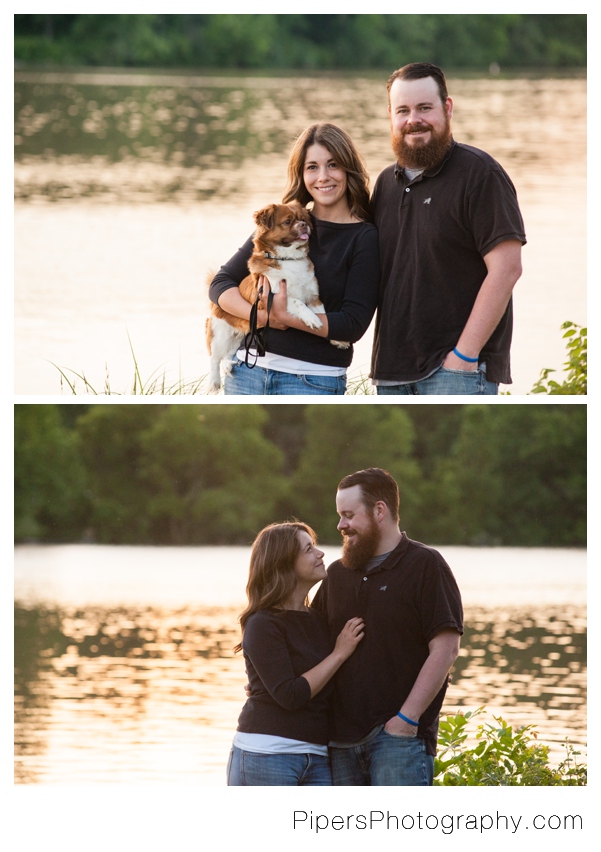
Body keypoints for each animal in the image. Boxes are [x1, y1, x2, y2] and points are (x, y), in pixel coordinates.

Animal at [205, 203, 346, 392]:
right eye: (287, 222)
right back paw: (214, 382)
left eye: (303, 219)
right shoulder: (274, 296)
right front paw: (311, 318)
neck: (288, 259)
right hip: (220, 334)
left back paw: (228, 364)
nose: (304, 225)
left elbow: (325, 317)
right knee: (214, 357)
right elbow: (298, 302)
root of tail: (214, 306)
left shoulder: (313, 296)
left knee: (229, 353)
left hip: (241, 335)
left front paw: (338, 339)